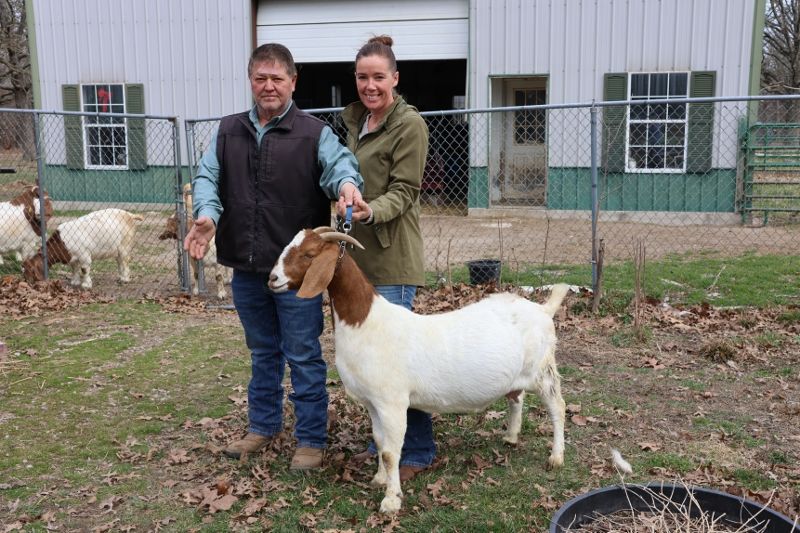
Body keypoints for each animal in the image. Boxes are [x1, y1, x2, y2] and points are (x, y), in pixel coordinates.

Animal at [268, 228, 569, 513]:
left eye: (308, 254)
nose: (272, 278)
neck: (365, 323)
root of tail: (543, 310)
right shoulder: (373, 403)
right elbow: (380, 443)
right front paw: (379, 479)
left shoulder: (392, 403)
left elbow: (391, 453)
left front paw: (391, 500)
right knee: (516, 397)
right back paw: (511, 436)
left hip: (543, 370)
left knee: (558, 407)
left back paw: (556, 457)